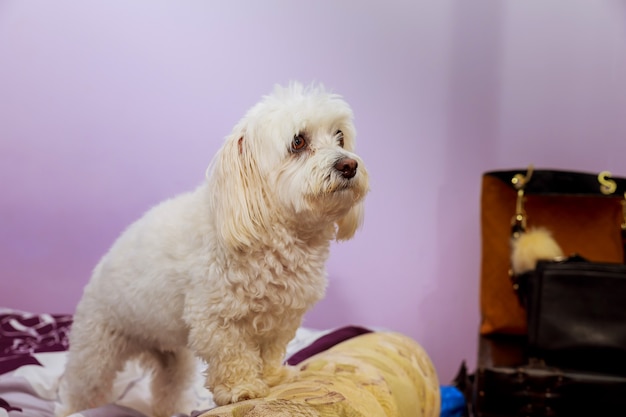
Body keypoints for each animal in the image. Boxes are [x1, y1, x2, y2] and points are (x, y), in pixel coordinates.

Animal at [58, 82, 366, 416]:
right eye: (298, 141)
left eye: (340, 137)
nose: (349, 165)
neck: (275, 233)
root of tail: (101, 266)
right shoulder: (217, 320)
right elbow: (233, 356)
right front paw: (242, 390)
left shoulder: (281, 320)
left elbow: (270, 353)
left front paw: (274, 378)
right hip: (96, 352)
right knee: (80, 391)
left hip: (173, 360)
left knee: (168, 388)